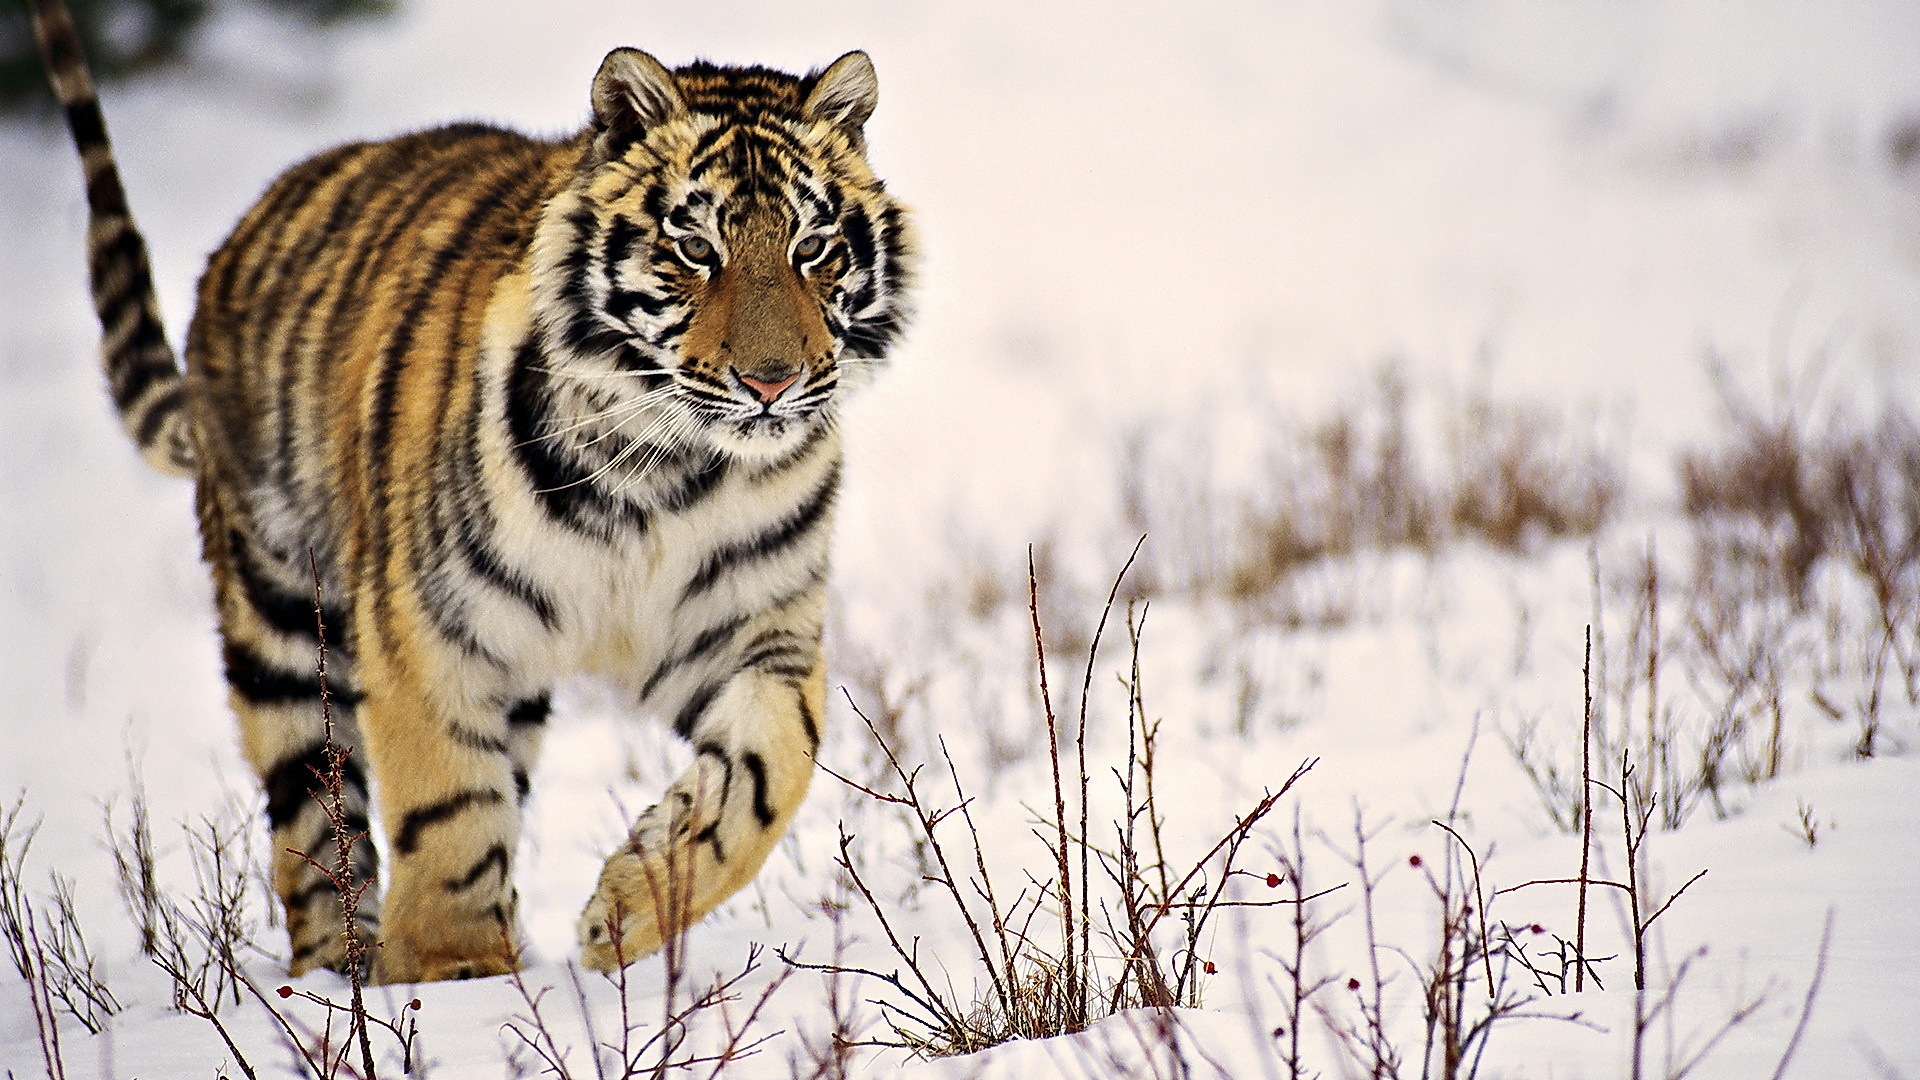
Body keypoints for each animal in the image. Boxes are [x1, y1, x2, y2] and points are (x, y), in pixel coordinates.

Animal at [28, 0, 913, 980]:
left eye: (812, 247)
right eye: (695, 248)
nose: (771, 382)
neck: (665, 469)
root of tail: (245, 230)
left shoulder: (754, 629)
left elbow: (769, 771)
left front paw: (628, 910)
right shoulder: (430, 628)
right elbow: (448, 806)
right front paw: (457, 974)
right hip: (282, 624)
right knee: (313, 825)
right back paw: (339, 975)